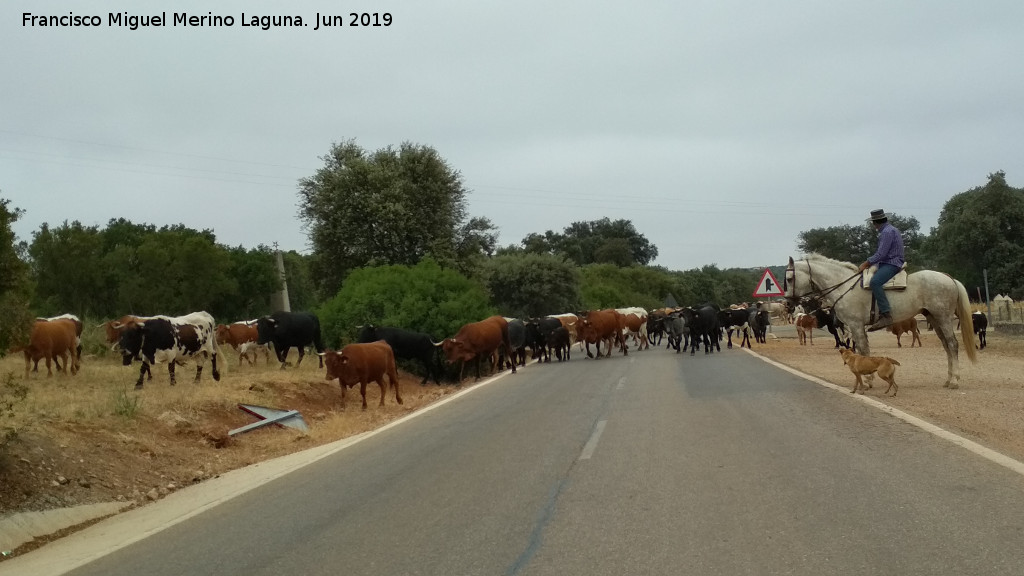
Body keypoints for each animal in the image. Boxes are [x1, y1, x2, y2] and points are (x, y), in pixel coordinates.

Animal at [782, 253, 974, 387]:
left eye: (790, 279)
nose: (787, 303)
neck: (845, 287)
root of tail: (947, 277)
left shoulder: (856, 325)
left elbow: (864, 350)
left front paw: (868, 380)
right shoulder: (854, 327)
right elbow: (862, 350)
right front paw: (869, 378)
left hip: (943, 317)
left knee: (953, 344)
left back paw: (955, 381)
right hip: (933, 318)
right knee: (946, 345)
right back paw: (948, 379)